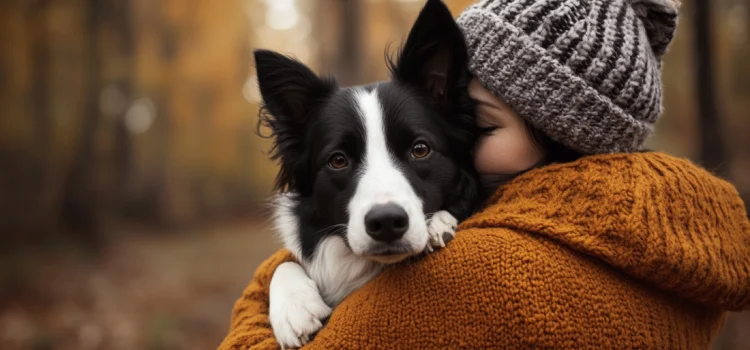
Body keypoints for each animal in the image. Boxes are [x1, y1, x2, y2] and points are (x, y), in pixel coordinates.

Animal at [256, 0, 482, 348]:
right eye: (338, 160)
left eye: (420, 149)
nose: (386, 222)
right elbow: (284, 264)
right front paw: (294, 307)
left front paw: (438, 224)